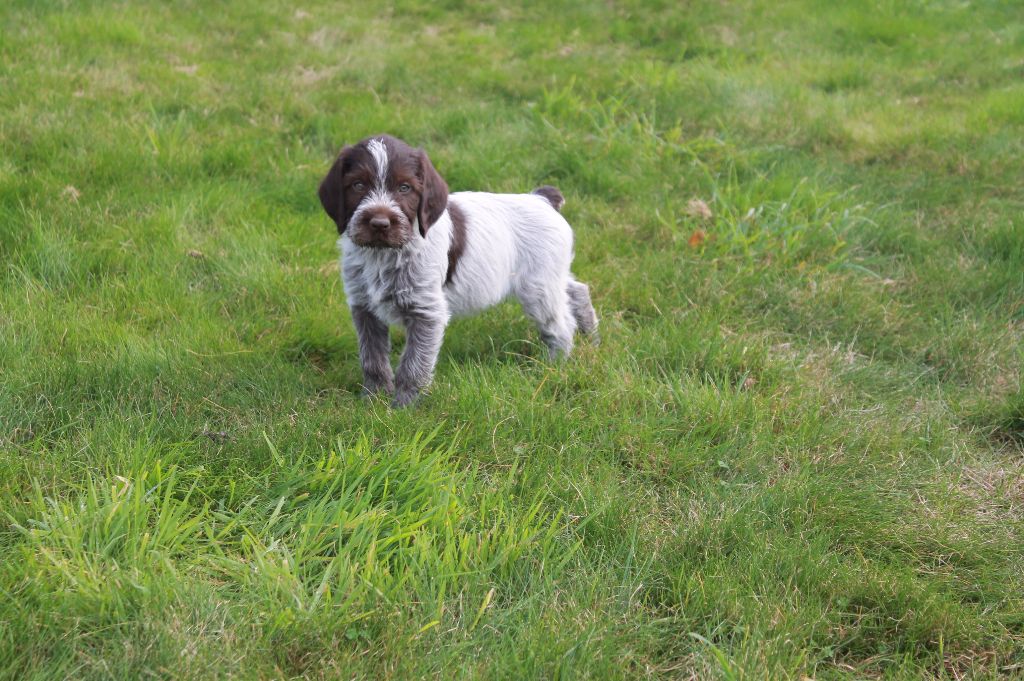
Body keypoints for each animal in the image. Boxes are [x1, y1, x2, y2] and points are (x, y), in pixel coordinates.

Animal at [317, 134, 598, 407]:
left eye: (404, 187)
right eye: (358, 185)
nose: (379, 223)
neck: (383, 254)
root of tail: (543, 199)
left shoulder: (426, 312)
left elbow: (413, 365)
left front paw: (403, 407)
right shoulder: (363, 307)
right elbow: (372, 360)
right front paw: (372, 400)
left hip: (538, 288)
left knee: (561, 326)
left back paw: (553, 366)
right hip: (550, 276)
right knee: (577, 290)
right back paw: (591, 337)